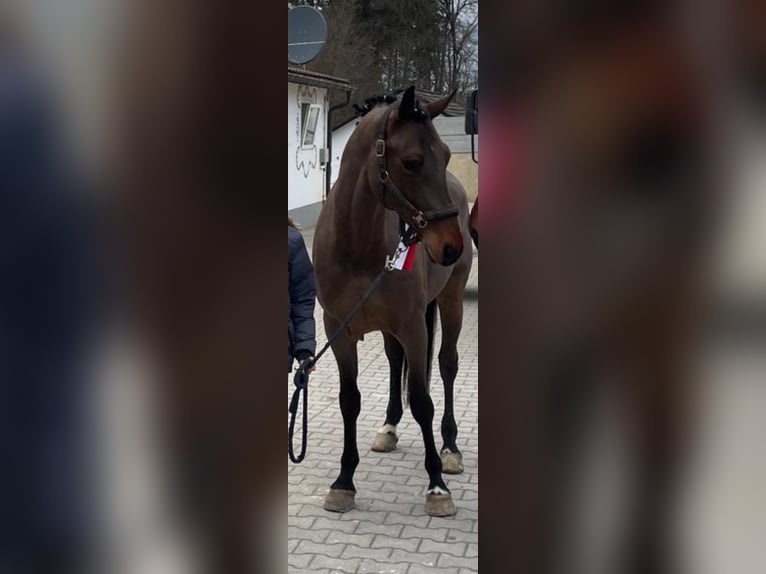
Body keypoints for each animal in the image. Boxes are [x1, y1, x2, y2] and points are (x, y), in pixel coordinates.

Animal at [314, 86, 474, 520]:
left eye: (446, 155)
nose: (450, 245)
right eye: (412, 162)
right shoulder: (338, 331)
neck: (357, 245)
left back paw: (450, 449)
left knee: (447, 364)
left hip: (451, 302)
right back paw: (388, 427)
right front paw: (343, 481)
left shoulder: (414, 328)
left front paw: (436, 486)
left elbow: (422, 401)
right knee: (392, 360)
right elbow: (349, 400)